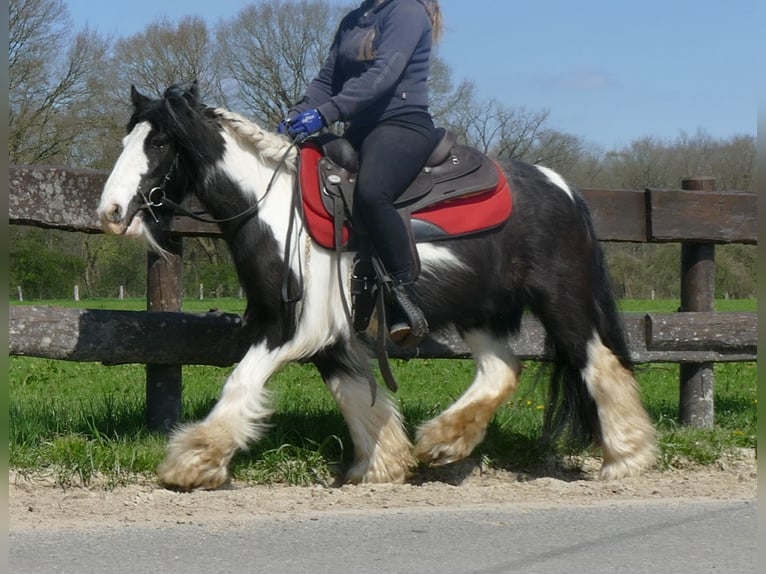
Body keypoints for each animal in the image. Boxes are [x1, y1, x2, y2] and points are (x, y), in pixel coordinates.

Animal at [97, 83, 660, 492]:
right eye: (127, 141)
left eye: (159, 142)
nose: (111, 212)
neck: (275, 208)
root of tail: (562, 187)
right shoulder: (329, 336)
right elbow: (356, 398)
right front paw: (382, 465)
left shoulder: (288, 328)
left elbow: (240, 384)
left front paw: (192, 462)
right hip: (478, 312)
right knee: (502, 369)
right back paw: (442, 442)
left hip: (562, 302)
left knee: (600, 364)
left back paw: (626, 458)